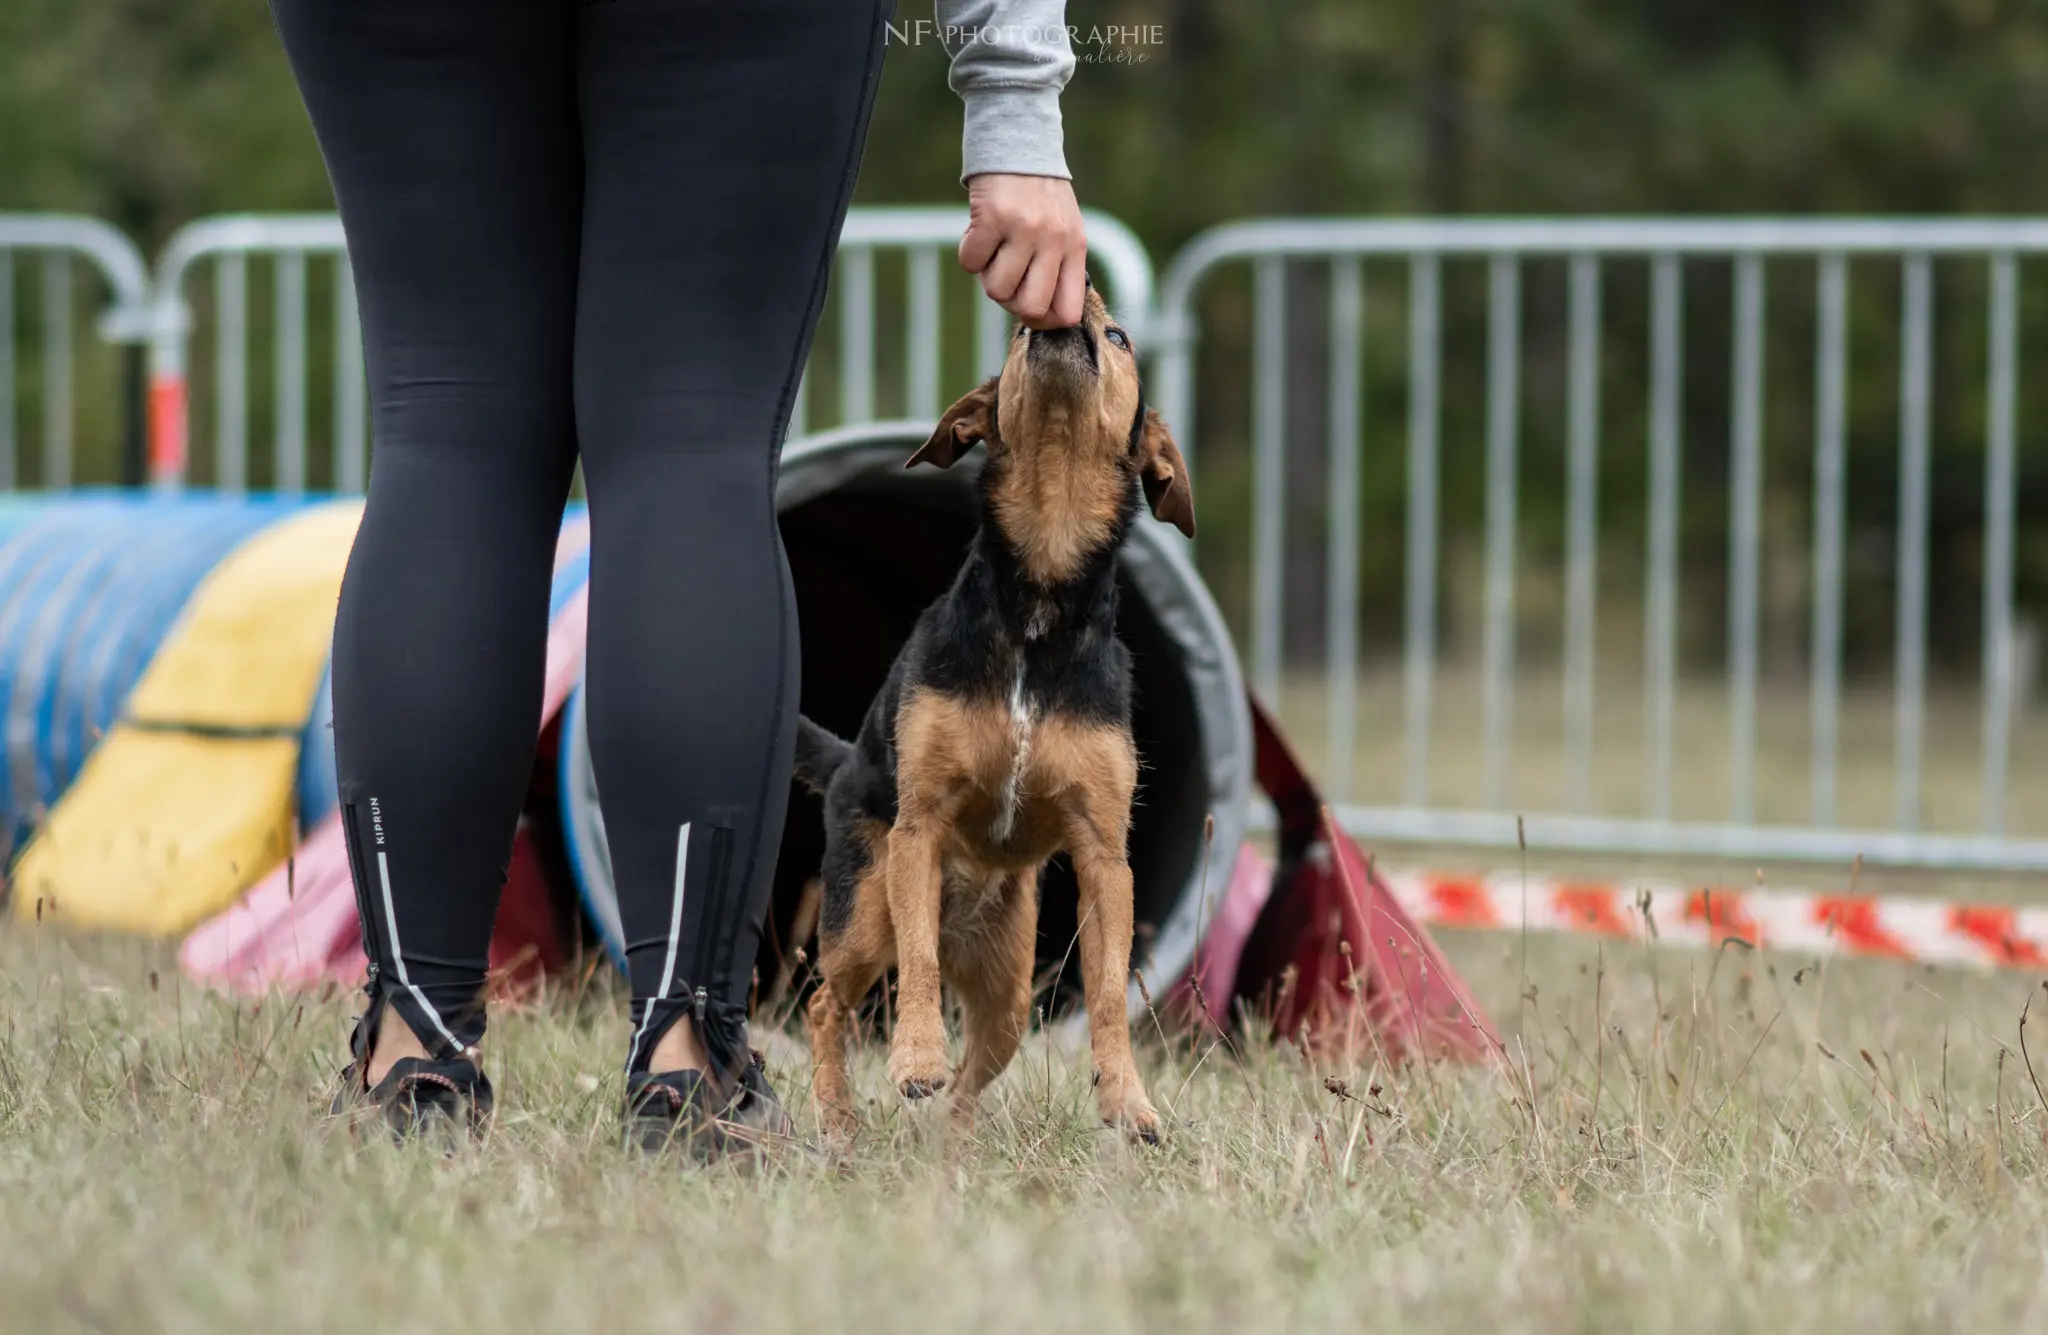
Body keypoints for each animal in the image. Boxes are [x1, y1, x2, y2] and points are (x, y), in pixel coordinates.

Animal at [790, 286, 1196, 1138]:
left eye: (1119, 337)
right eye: (1014, 332)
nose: (1082, 291)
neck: (1041, 582)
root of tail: (844, 763)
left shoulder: (1103, 854)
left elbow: (1108, 994)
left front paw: (1127, 1098)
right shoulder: (918, 830)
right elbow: (917, 967)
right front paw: (914, 1057)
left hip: (1009, 983)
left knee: (979, 1063)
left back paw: (948, 1140)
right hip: (863, 910)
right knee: (826, 1003)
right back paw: (839, 1116)